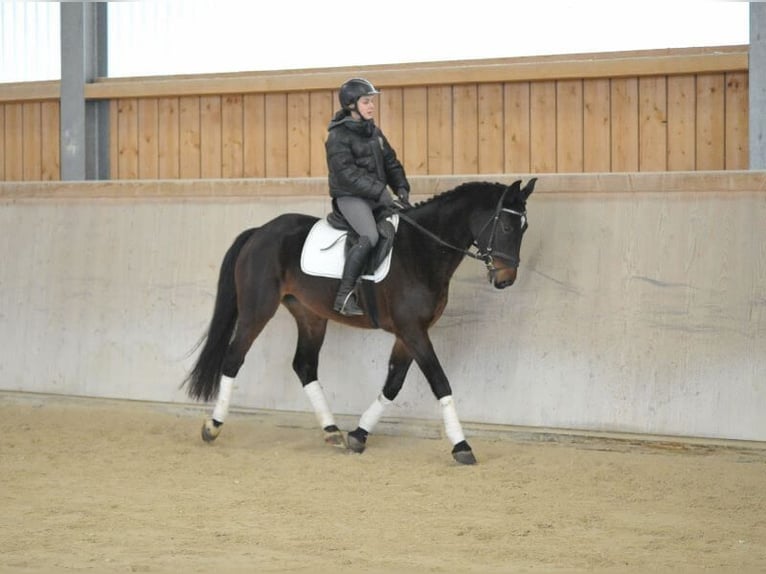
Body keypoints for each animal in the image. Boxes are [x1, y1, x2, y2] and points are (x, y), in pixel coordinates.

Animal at [182, 178, 536, 466]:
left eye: (524, 229)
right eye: (506, 228)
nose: (505, 279)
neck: (422, 250)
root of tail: (260, 232)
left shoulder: (409, 333)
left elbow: (392, 384)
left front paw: (359, 434)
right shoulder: (413, 331)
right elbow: (440, 382)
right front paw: (462, 446)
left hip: (310, 315)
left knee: (304, 365)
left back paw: (332, 431)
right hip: (258, 309)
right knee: (234, 358)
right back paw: (213, 426)